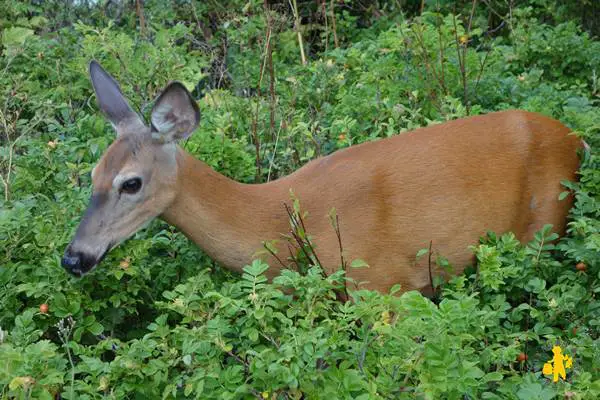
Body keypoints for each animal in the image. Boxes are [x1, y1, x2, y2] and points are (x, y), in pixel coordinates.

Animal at [61, 61, 580, 296]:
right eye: (92, 174)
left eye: (131, 183)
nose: (73, 257)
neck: (277, 219)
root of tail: (574, 138)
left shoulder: (385, 283)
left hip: (546, 226)